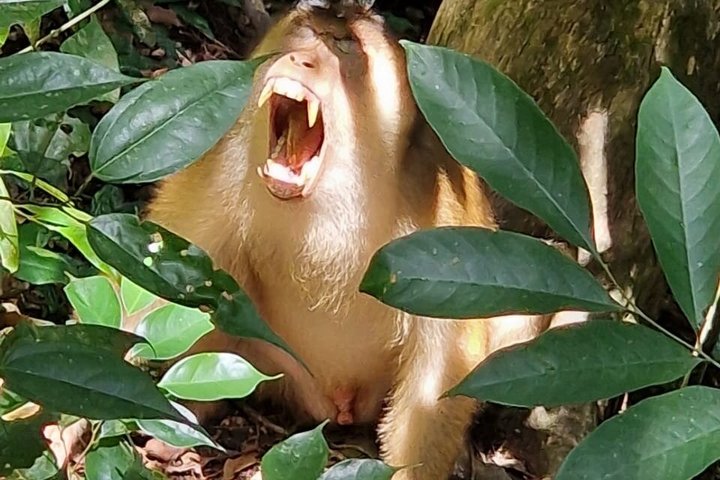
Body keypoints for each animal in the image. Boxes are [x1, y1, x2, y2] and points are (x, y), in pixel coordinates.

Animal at [141, 1, 550, 478]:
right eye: (306, 34)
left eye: (342, 45)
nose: (301, 60)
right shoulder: (221, 165)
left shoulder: (438, 204)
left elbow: (443, 361)